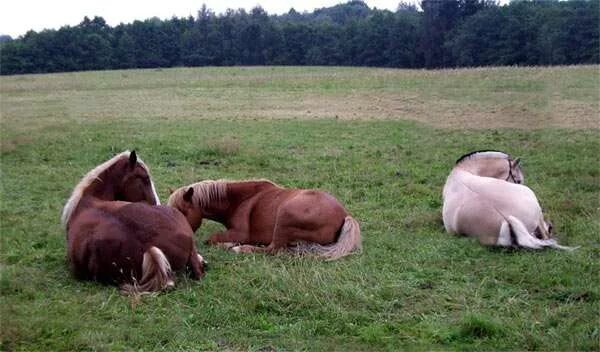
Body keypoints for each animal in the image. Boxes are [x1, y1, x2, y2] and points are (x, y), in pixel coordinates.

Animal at [166, 180, 360, 260]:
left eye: (182, 211)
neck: (238, 201)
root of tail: (345, 215)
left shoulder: (239, 233)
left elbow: (212, 238)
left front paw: (229, 245)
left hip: (284, 217)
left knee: (272, 249)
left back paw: (239, 249)